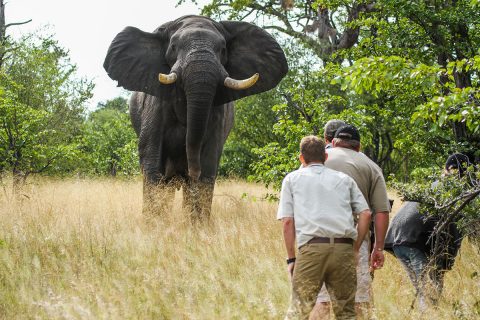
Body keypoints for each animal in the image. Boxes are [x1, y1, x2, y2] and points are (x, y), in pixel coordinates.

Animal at [103, 15, 286, 220]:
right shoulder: (155, 107)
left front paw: (196, 225)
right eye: (174, 46)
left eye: (223, 49)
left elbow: (208, 164)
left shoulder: (217, 115)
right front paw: (155, 224)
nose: (192, 172)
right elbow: (152, 163)